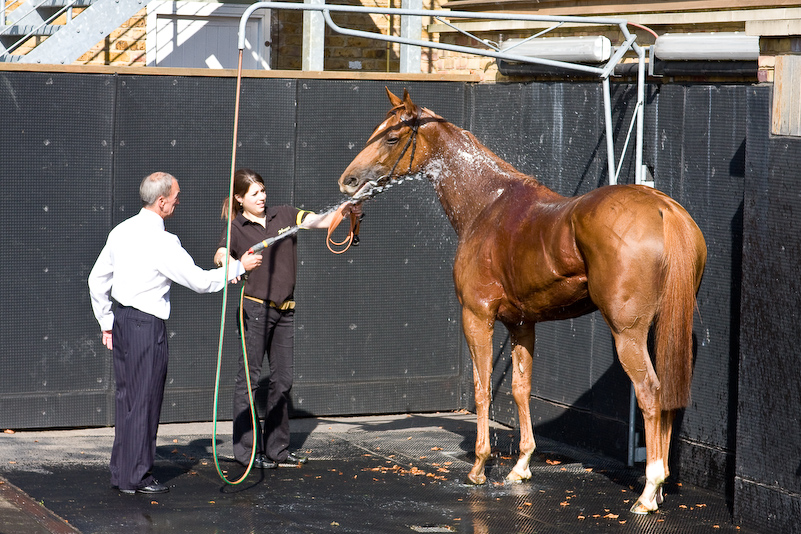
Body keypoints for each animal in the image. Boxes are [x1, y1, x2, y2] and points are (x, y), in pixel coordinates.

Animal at [338, 89, 708, 516]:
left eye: (392, 138)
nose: (348, 181)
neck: (487, 203)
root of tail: (665, 209)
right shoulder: (521, 323)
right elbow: (519, 388)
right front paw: (521, 466)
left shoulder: (476, 316)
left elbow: (482, 388)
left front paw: (480, 467)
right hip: (662, 327)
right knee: (667, 396)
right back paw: (659, 488)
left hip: (627, 333)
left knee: (650, 390)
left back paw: (649, 491)